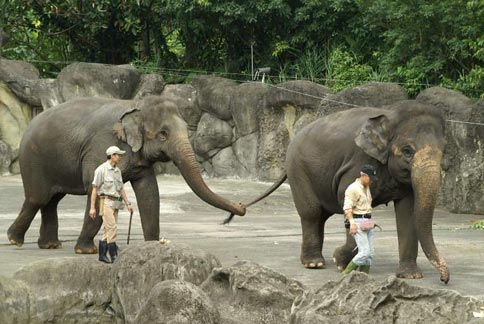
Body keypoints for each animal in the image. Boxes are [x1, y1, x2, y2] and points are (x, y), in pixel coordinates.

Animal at [5, 96, 244, 253]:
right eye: (163, 134)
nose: (241, 207)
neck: (135, 105)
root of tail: (29, 125)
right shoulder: (101, 146)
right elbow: (97, 188)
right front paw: (86, 251)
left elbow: (150, 192)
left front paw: (153, 246)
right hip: (34, 160)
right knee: (38, 198)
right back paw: (15, 240)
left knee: (52, 200)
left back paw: (49, 245)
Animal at [242, 101, 450, 284]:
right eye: (407, 150)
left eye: (444, 151)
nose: (444, 279)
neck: (390, 114)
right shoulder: (357, 161)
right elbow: (347, 199)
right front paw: (340, 261)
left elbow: (408, 211)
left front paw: (411, 276)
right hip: (298, 169)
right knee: (311, 212)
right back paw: (314, 264)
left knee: (321, 215)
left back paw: (316, 260)